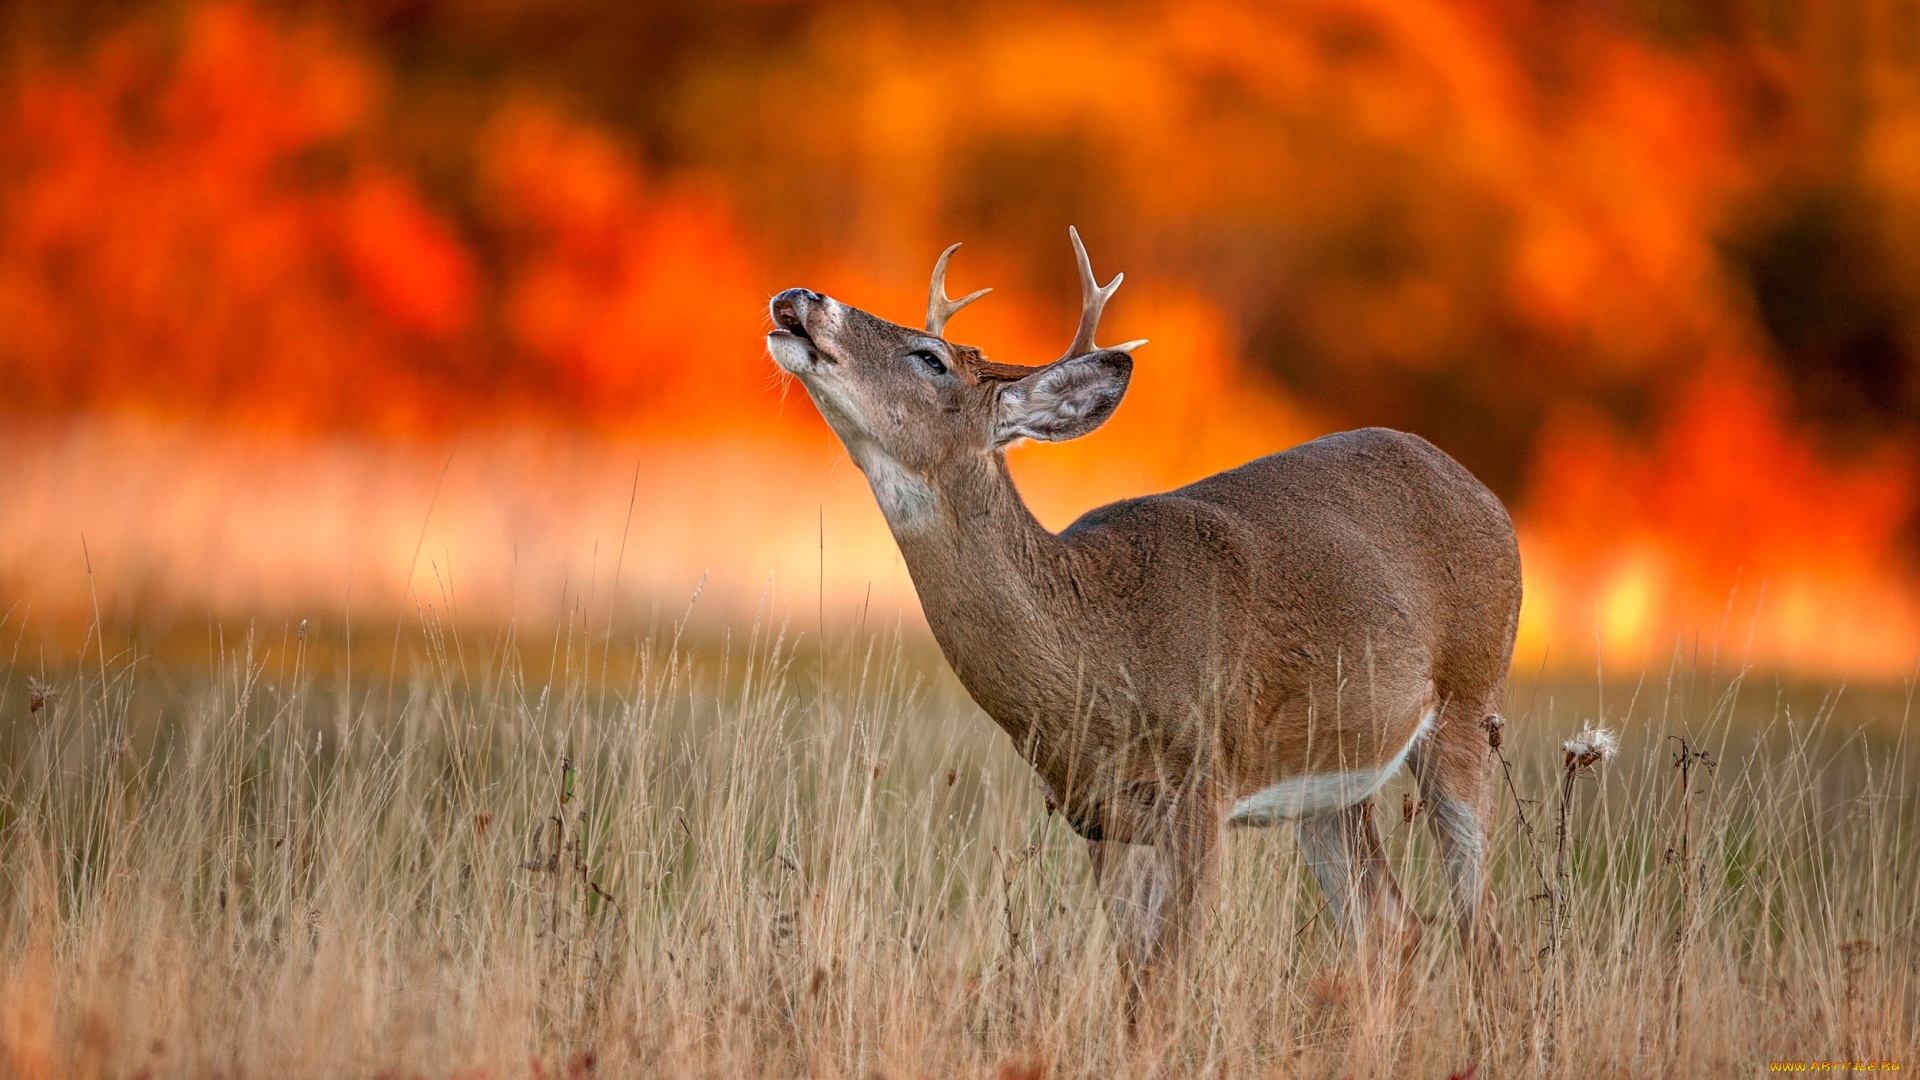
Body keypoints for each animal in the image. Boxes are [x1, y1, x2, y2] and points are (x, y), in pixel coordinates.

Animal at [764, 226, 1528, 1014]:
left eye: (930, 358)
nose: (800, 298)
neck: (1100, 652)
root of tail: (1487, 496)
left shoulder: (1203, 787)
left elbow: (1167, 984)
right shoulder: (1097, 818)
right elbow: (1137, 986)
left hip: (1471, 700)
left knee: (1481, 931)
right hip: (1330, 779)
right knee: (1390, 927)